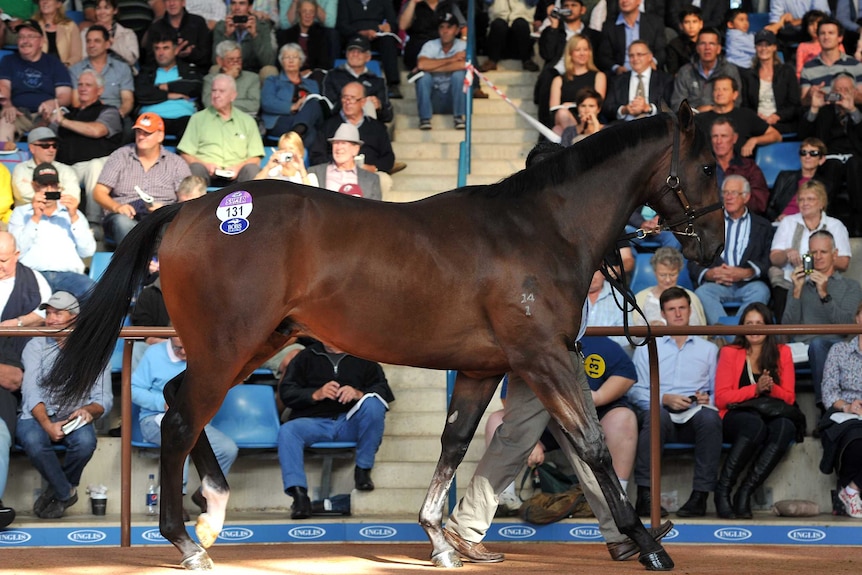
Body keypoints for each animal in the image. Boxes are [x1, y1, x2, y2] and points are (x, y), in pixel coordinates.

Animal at [45, 102, 724, 572]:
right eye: (709, 165)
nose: (714, 247)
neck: (539, 227)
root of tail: (189, 209)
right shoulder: (546, 359)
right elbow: (592, 446)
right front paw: (646, 543)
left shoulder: (484, 368)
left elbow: (454, 444)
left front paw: (440, 541)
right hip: (228, 344)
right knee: (181, 417)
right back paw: (188, 540)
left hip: (251, 344)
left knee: (181, 405)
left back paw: (211, 514)